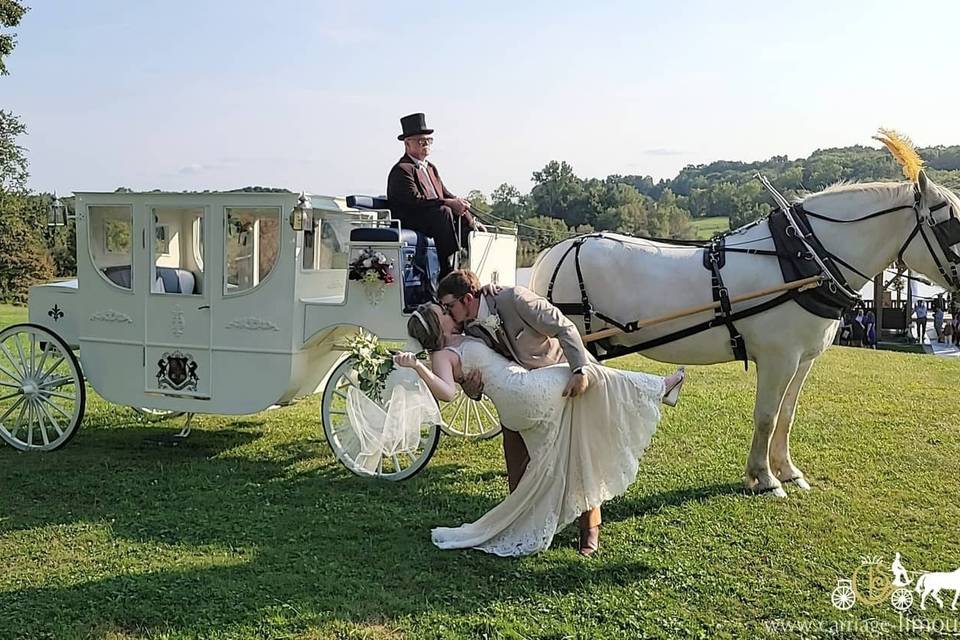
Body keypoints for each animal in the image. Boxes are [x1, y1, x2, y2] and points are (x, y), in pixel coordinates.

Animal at [528, 170, 960, 496]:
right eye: (949, 224)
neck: (805, 258)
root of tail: (554, 252)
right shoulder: (778, 357)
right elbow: (766, 416)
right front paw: (764, 478)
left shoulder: (802, 360)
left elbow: (787, 414)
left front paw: (787, 471)